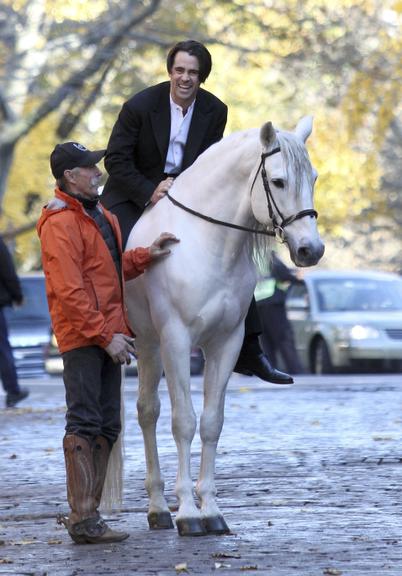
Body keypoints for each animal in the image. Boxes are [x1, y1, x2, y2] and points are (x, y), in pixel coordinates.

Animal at [124, 116, 326, 536]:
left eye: (313, 178)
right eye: (278, 181)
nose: (310, 251)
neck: (206, 242)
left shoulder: (225, 344)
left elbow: (212, 423)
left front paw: (211, 510)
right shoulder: (176, 340)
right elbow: (184, 421)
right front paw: (188, 512)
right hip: (149, 344)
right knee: (147, 412)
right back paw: (158, 507)